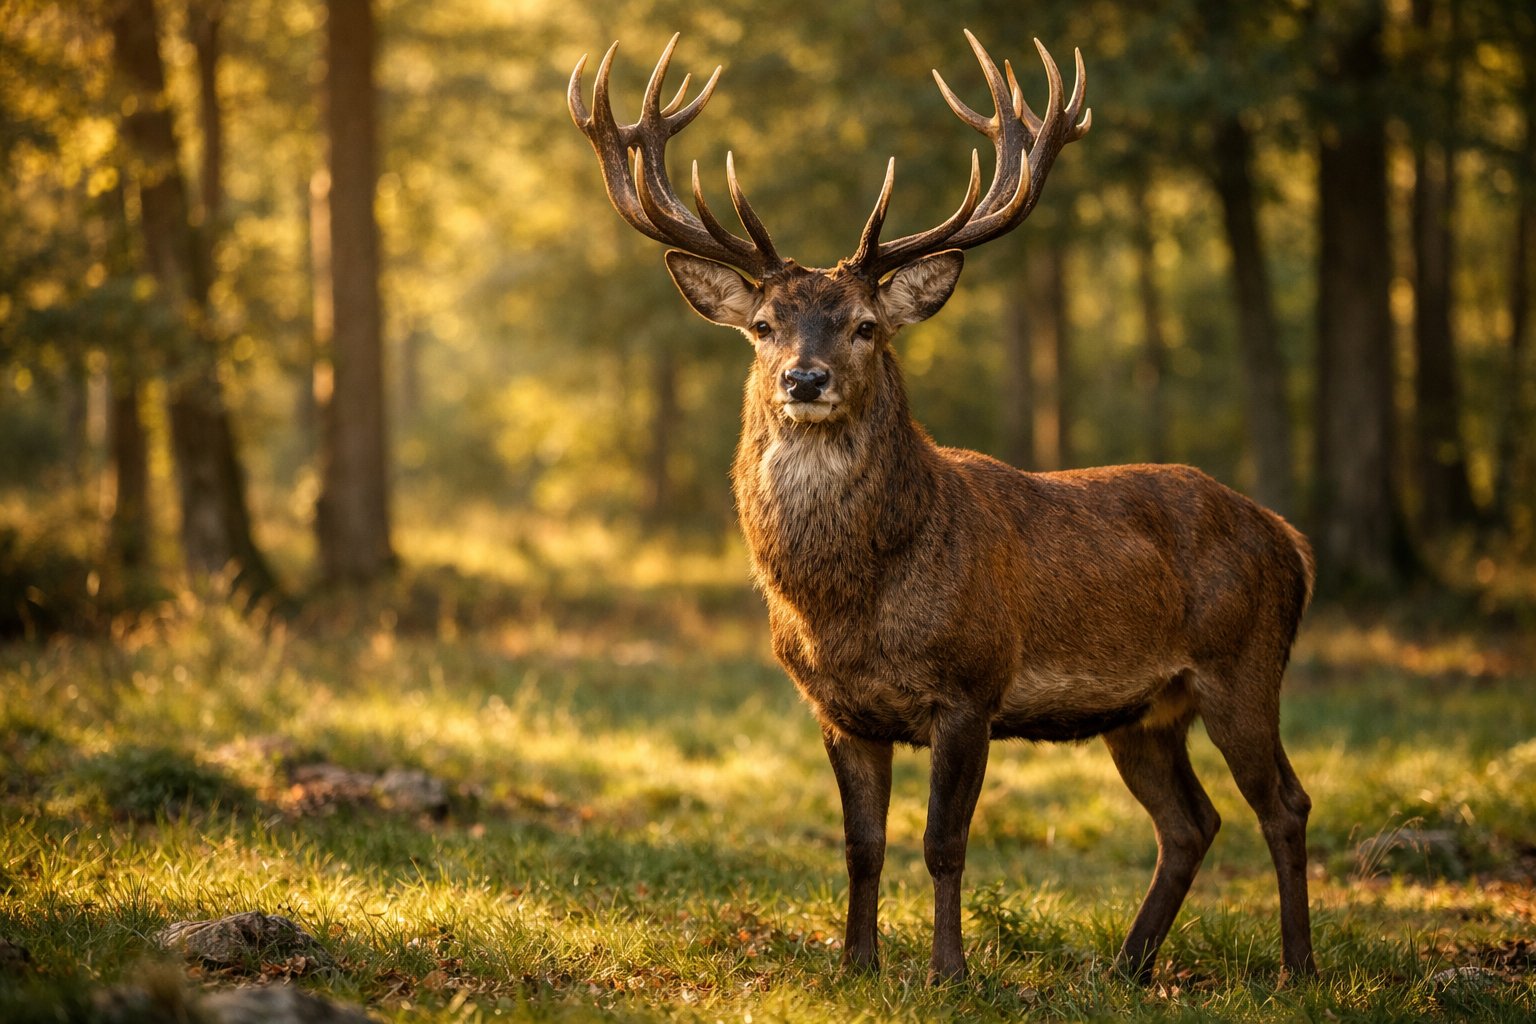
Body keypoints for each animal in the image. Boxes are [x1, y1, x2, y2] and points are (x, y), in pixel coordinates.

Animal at [568, 30, 1317, 986]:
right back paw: (1126, 966)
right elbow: (863, 846)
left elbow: (943, 843)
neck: (848, 605)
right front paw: (857, 964)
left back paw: (1298, 967)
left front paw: (948, 970)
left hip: (1245, 665)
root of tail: (1291, 542)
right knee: (1192, 821)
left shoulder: (971, 686)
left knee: (1284, 802)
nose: (803, 379)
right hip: (1145, 712)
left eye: (865, 325)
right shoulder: (837, 708)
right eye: (764, 325)